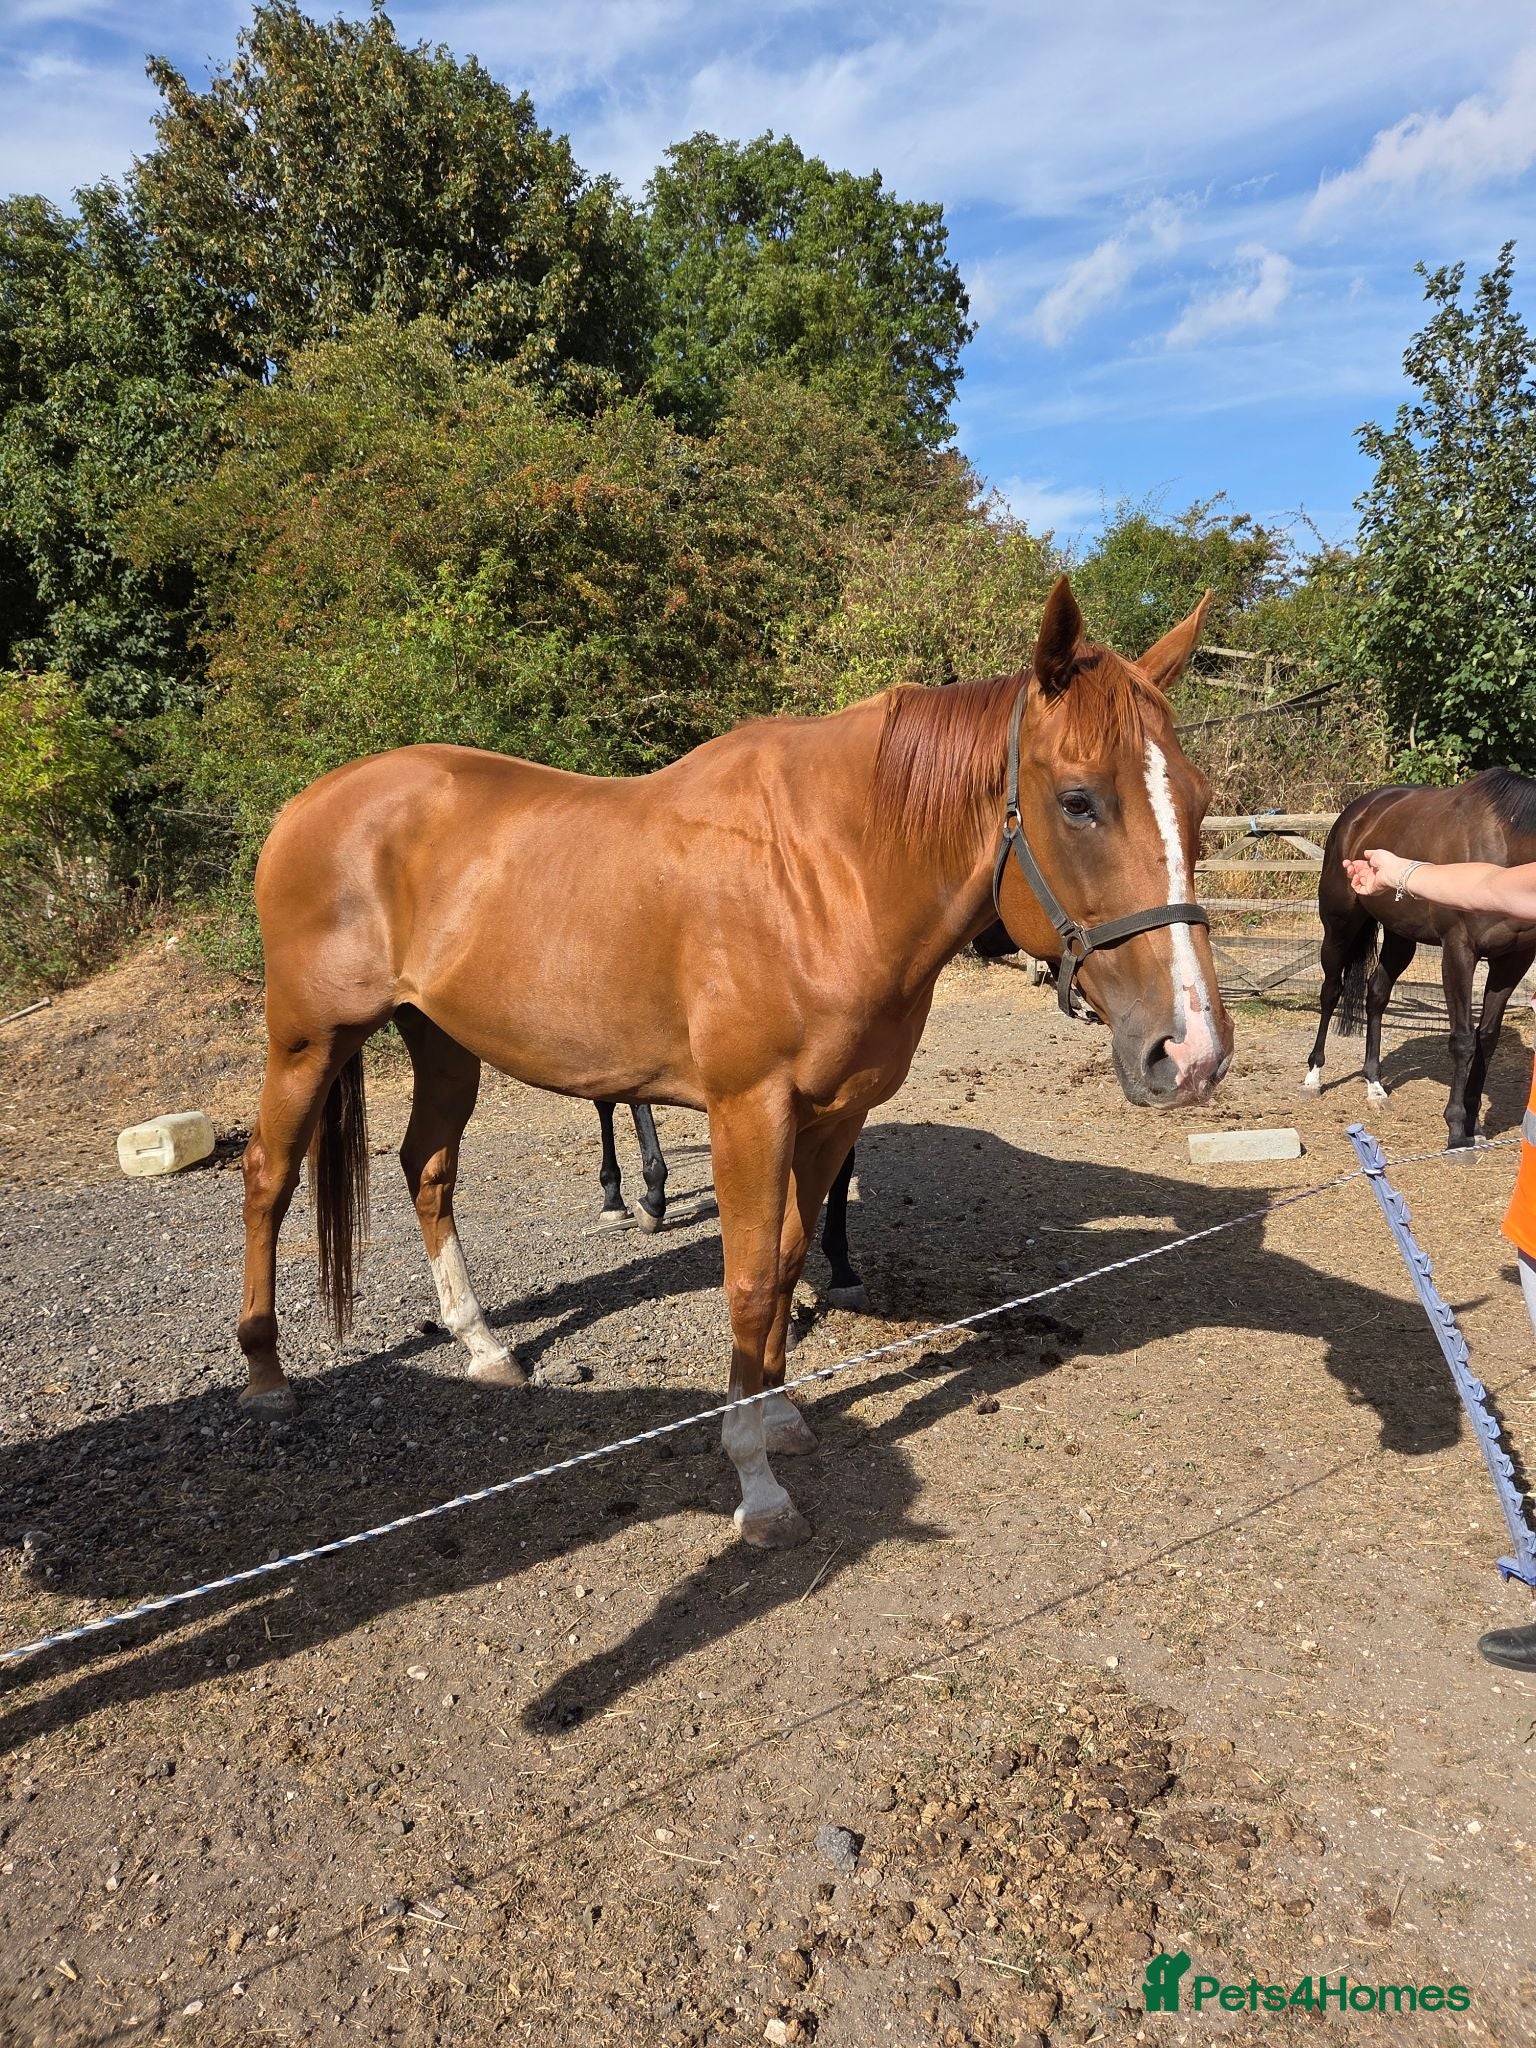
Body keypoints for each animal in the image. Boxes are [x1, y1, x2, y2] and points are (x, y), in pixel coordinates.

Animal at [237, 575, 1232, 1548]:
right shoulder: (748, 1110)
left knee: (427, 1170)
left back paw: (483, 1347)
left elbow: (791, 1258)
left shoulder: (833, 1114)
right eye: (1078, 801)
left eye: (1197, 800)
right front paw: (755, 1484)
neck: (826, 873)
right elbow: (750, 1285)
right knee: (269, 1178)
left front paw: (784, 1417)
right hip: (308, 1041)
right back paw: (267, 1377)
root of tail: (306, 806)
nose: (1191, 1052)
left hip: (443, 1042)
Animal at [1305, 768, 1536, 1146]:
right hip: (1339, 926)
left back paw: (1375, 1088)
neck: (1505, 845)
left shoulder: (1514, 958)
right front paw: (1456, 1127)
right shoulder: (1459, 951)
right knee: (1331, 992)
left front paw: (1473, 1119)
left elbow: (1487, 1037)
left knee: (1376, 994)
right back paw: (1313, 1077)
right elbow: (1463, 1039)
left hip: (1401, 936)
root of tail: (1358, 812)